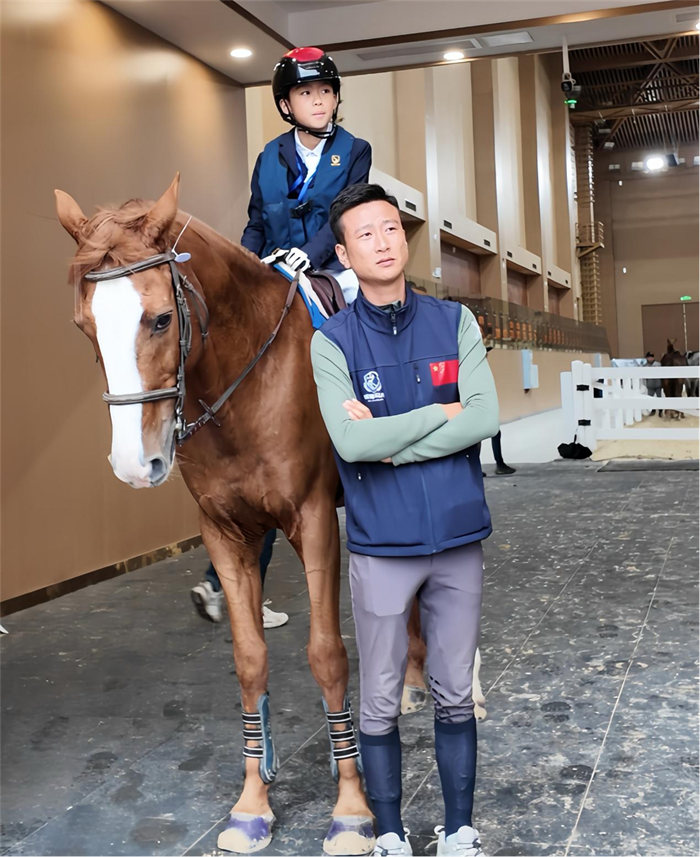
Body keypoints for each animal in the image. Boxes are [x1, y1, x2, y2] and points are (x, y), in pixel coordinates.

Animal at [55, 174, 376, 856]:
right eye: (83, 326)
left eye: (160, 318)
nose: (135, 462)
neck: (244, 381)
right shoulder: (224, 531)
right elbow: (249, 659)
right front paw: (253, 802)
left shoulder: (314, 519)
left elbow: (327, 654)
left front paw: (352, 808)